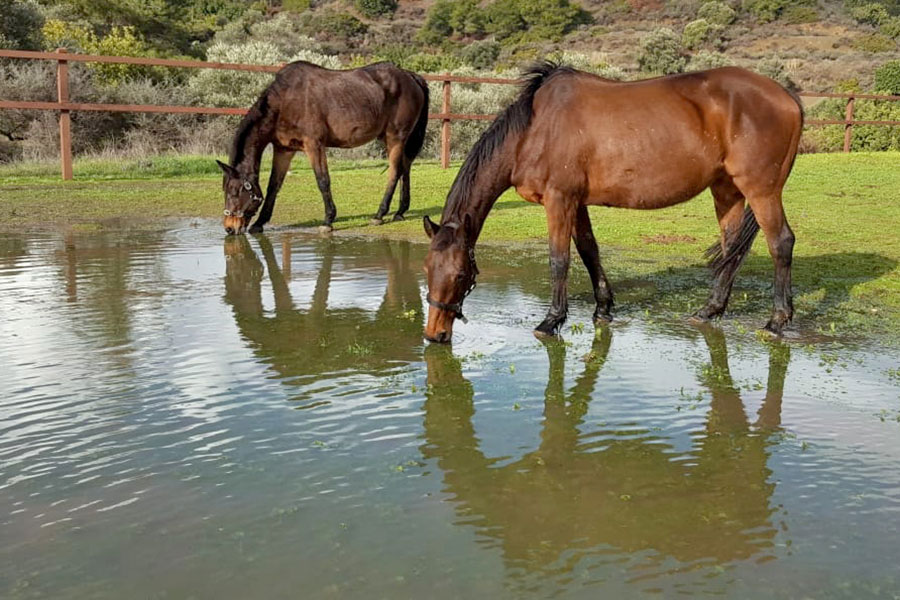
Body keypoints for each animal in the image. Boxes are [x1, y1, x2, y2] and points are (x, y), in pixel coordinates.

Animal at [218, 61, 430, 235]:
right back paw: (400, 211)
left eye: (234, 192)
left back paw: (379, 214)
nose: (229, 228)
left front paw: (328, 220)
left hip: (395, 138)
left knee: (395, 172)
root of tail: (410, 76)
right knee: (405, 169)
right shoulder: (284, 150)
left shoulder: (314, 146)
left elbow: (323, 181)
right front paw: (259, 223)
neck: (286, 100)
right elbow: (273, 186)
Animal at [422, 62, 803, 343]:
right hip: (726, 191)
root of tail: (786, 95)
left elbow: (559, 260)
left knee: (781, 243)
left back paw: (776, 321)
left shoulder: (559, 200)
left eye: (461, 274)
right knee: (731, 250)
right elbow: (589, 251)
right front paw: (603, 309)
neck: (534, 129)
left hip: (761, 190)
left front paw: (551, 321)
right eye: (427, 269)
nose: (434, 334)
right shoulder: (575, 203)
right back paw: (709, 311)